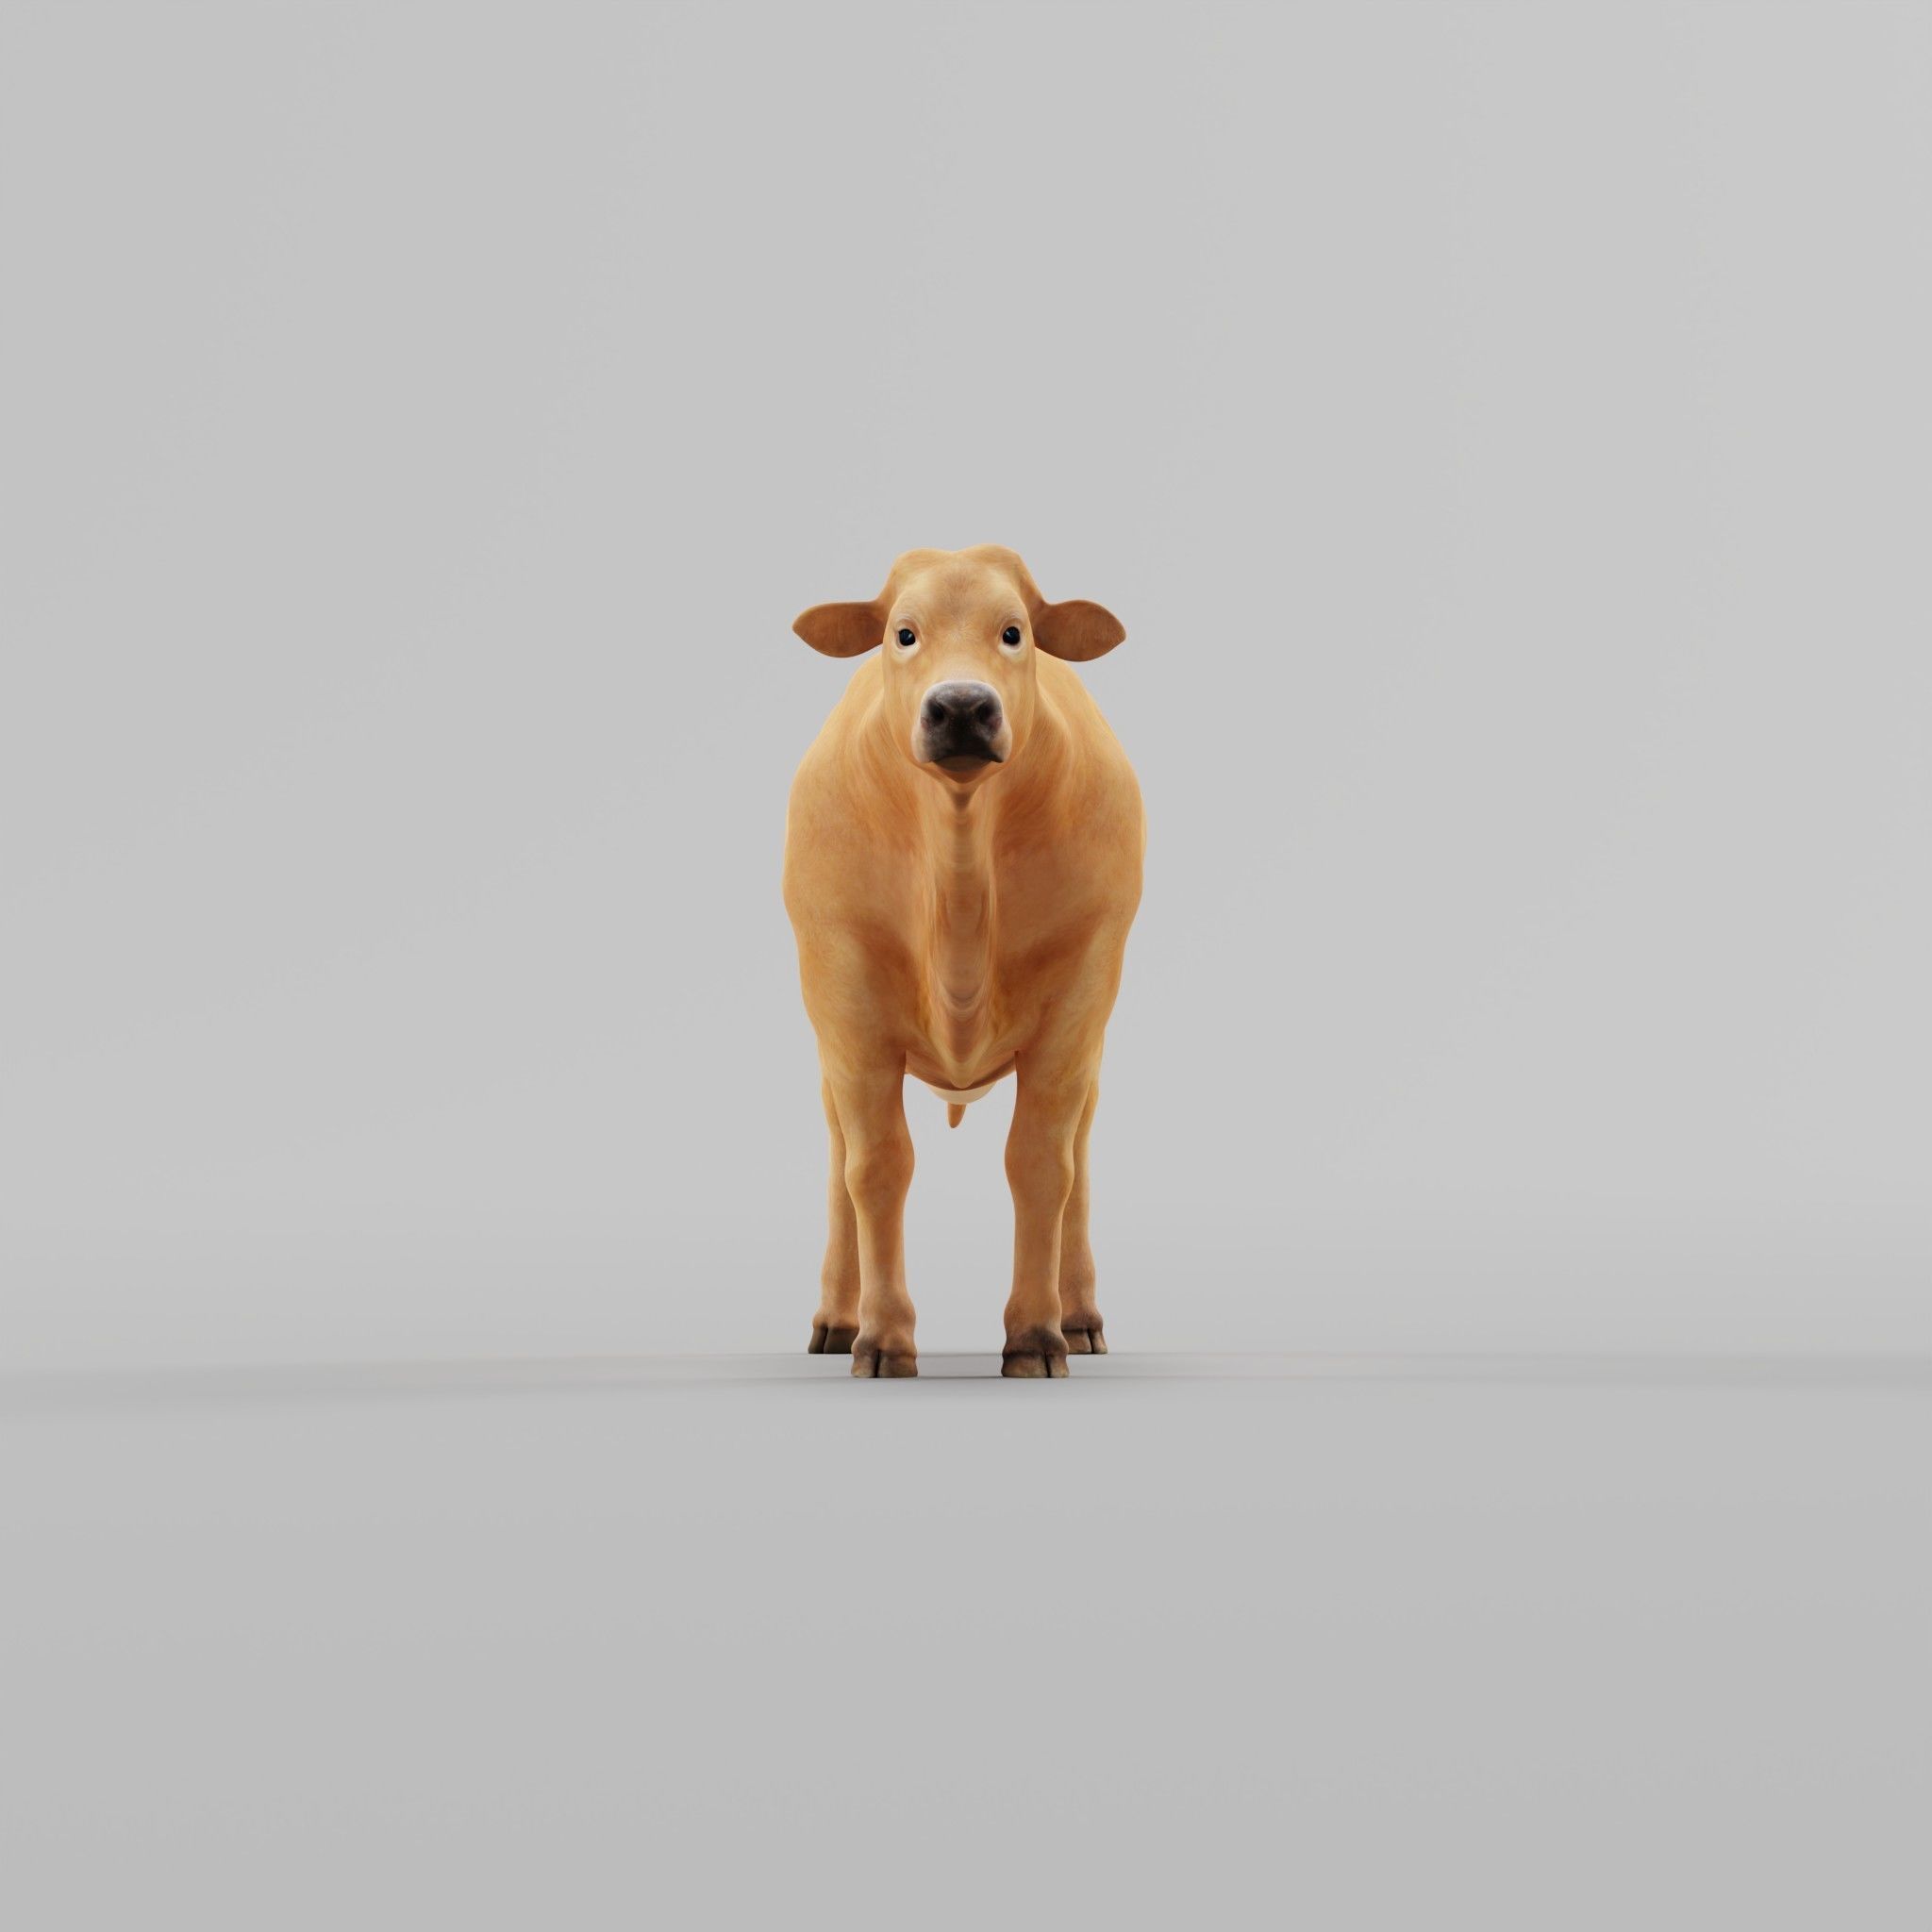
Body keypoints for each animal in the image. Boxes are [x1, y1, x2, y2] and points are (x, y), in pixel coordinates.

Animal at [783, 545, 1144, 1378]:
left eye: (1014, 632)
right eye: (903, 632)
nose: (959, 706)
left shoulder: (1080, 997)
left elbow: (1042, 1165)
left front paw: (1036, 1335)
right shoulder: (845, 998)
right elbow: (875, 1167)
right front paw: (883, 1337)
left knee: (1079, 1154)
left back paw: (1079, 1315)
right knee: (839, 1155)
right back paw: (836, 1318)